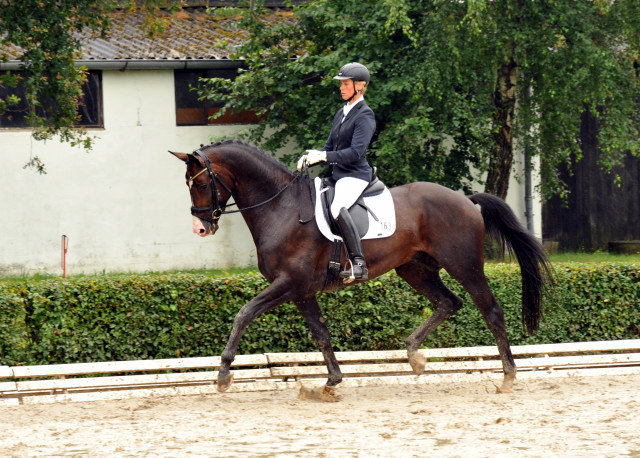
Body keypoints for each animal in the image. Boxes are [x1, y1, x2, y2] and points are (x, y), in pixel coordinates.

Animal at [169, 140, 552, 398]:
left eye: (201, 183)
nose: (201, 229)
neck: (281, 207)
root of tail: (466, 199)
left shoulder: (288, 283)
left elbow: (243, 314)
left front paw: (223, 373)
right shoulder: (301, 291)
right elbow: (321, 333)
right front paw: (332, 382)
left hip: (464, 266)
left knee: (491, 310)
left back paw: (508, 376)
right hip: (415, 269)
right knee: (449, 303)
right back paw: (415, 356)